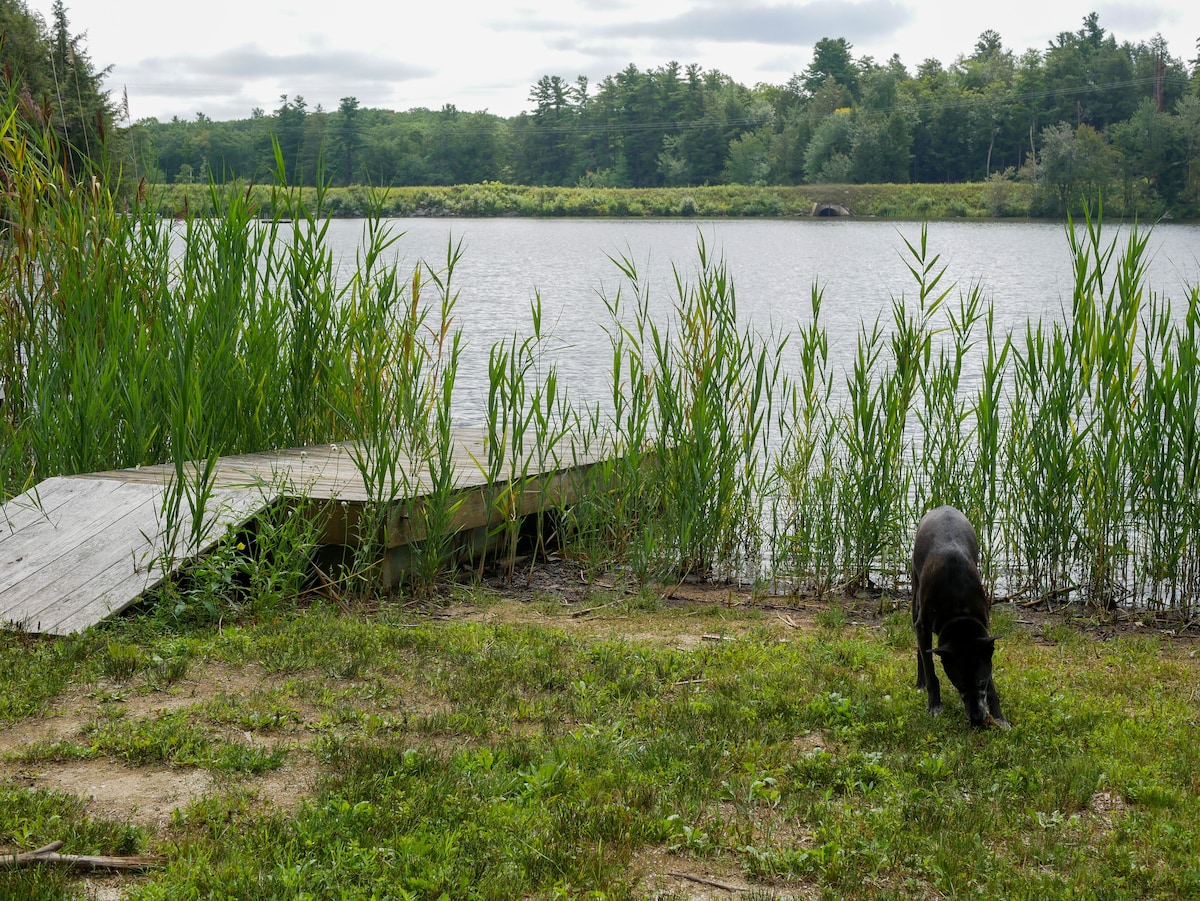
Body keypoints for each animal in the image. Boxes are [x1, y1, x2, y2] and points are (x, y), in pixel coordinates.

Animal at [912, 503, 1008, 729]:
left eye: (981, 682)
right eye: (960, 684)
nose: (977, 719)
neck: (959, 615)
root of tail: (943, 506)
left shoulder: (984, 637)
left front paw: (999, 716)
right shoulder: (923, 626)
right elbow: (930, 669)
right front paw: (934, 705)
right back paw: (920, 683)